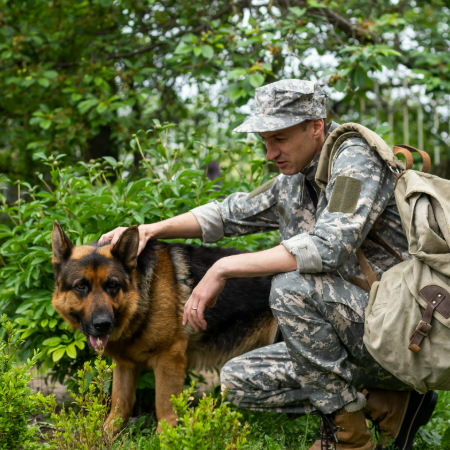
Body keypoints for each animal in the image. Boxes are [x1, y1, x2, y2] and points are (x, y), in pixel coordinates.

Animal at [52, 221, 278, 428]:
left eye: (112, 285)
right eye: (81, 286)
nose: (103, 324)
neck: (144, 295)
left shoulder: (169, 358)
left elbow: (165, 411)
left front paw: (167, 439)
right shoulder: (125, 365)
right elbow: (118, 409)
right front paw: (105, 439)